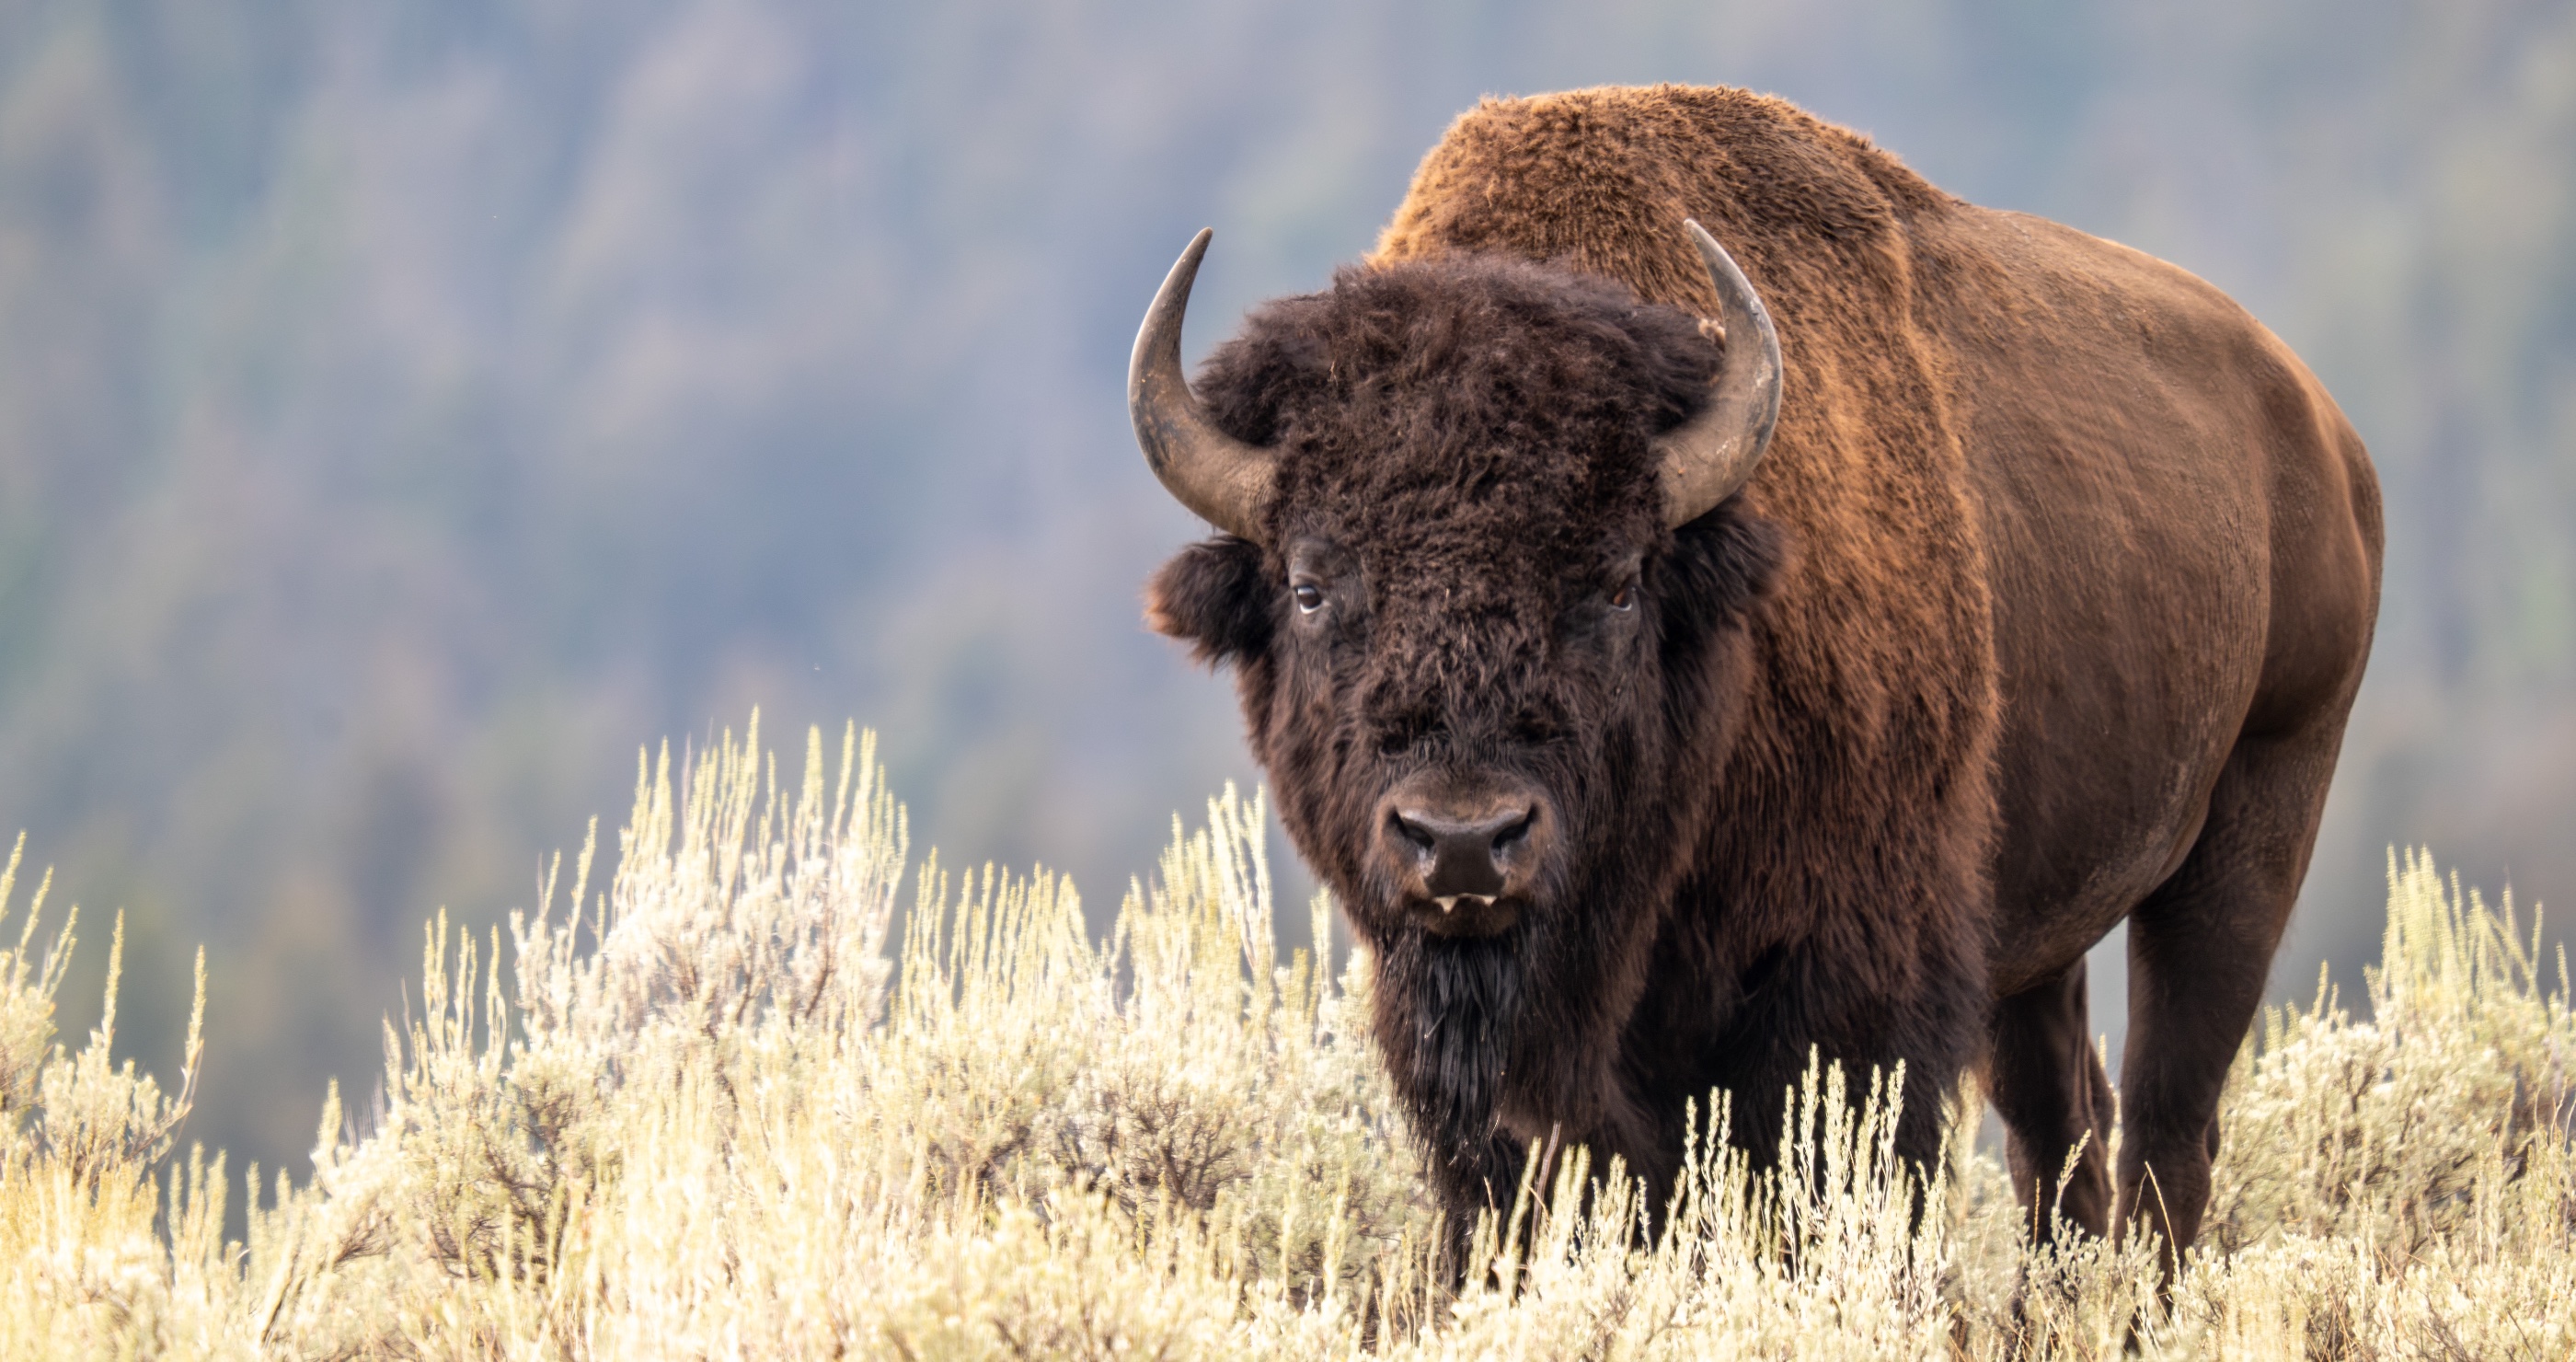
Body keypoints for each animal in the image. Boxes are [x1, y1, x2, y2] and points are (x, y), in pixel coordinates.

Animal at [1138, 85, 2380, 1261]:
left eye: (1618, 582)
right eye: (1309, 585)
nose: (1462, 841)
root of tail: (2323, 432)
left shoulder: (1852, 989)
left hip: (2254, 825)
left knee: (2170, 1130)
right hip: (2041, 928)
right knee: (2059, 1129)